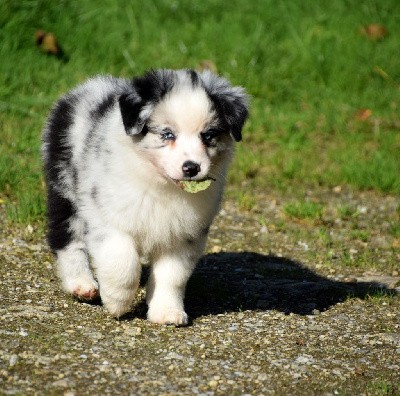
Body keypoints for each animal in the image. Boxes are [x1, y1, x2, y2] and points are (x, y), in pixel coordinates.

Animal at [40, 70, 247, 324]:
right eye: (167, 134)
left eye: (208, 136)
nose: (191, 167)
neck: (160, 185)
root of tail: (89, 86)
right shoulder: (107, 217)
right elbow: (123, 261)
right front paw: (117, 301)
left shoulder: (183, 234)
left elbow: (172, 275)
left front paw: (167, 312)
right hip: (65, 189)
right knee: (66, 238)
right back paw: (81, 284)